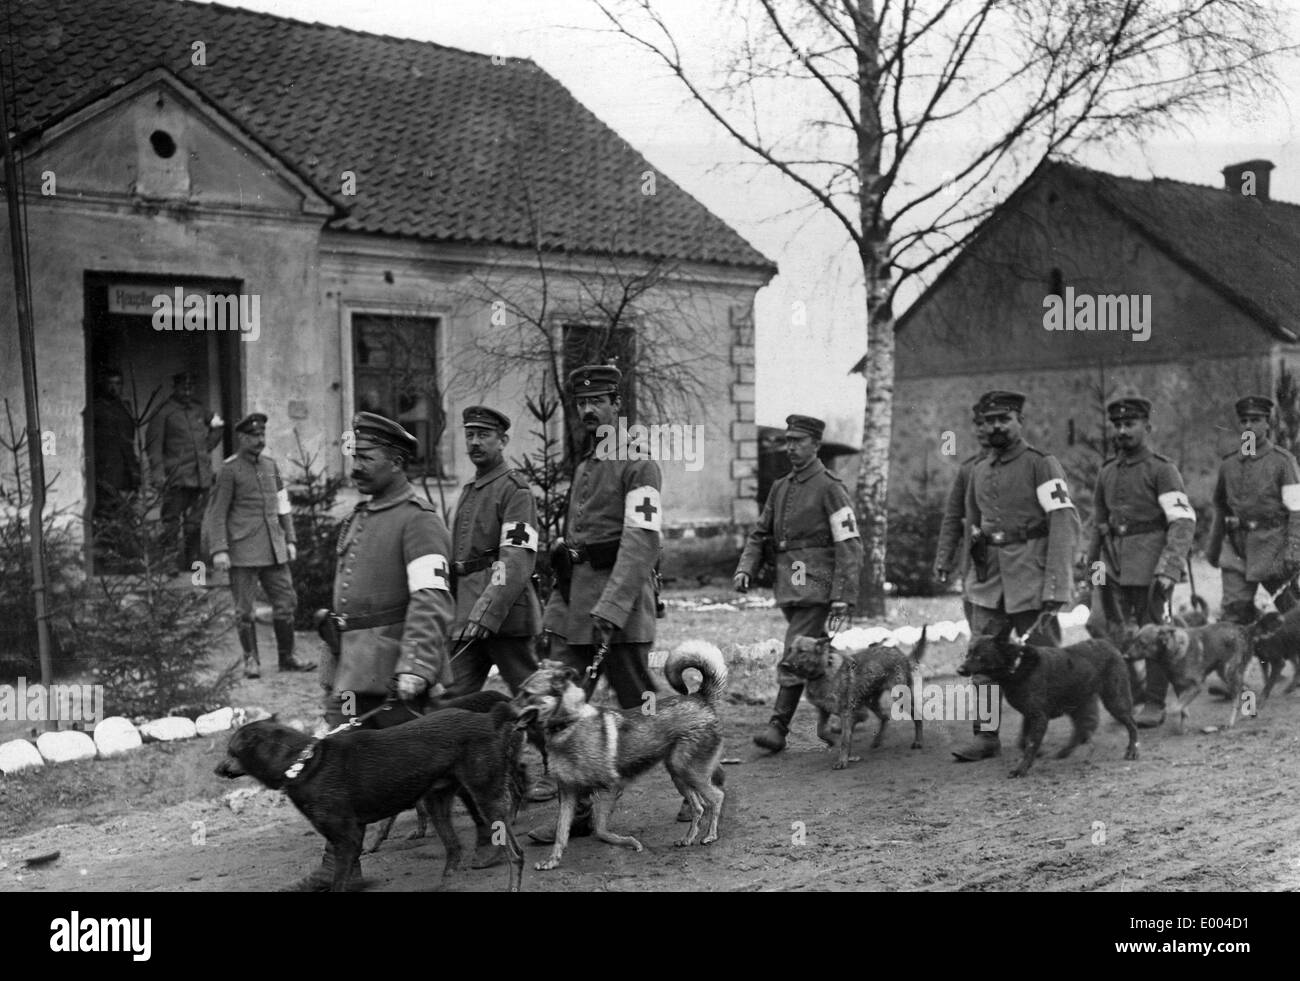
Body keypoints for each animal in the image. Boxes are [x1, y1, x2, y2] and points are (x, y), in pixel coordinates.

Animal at [218, 701, 527, 893]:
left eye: (232, 751)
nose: (216, 769)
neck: (305, 763)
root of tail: (488, 718)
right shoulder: (350, 836)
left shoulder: (346, 837)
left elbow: (339, 884)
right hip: (437, 802)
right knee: (455, 851)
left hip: (485, 798)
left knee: (515, 854)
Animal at [509, 644, 733, 873]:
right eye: (520, 690)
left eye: (528, 694)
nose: (505, 708)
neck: (569, 725)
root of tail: (700, 698)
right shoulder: (568, 792)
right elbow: (561, 833)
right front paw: (552, 861)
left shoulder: (610, 788)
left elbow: (600, 830)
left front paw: (628, 842)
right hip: (678, 774)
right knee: (699, 806)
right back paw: (687, 839)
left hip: (688, 771)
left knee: (716, 797)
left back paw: (710, 835)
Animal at [780, 628, 925, 769]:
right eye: (790, 649)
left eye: (802, 651)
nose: (784, 665)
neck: (822, 673)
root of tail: (900, 653)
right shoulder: (824, 710)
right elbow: (820, 731)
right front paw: (832, 741)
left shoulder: (847, 713)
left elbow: (845, 739)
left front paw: (842, 761)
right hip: (871, 701)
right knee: (885, 717)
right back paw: (877, 741)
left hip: (901, 698)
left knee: (917, 717)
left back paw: (918, 742)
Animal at [956, 626, 1138, 779]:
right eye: (967, 654)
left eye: (979, 656)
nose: (959, 670)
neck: (1016, 666)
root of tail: (1109, 645)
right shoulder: (1030, 715)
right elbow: (1027, 740)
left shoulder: (1039, 717)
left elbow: (1030, 744)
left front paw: (1020, 769)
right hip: (1077, 704)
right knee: (1081, 729)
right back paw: (1064, 753)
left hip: (1115, 701)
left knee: (1131, 725)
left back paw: (1132, 751)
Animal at [1128, 621, 1258, 727]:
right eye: (1133, 641)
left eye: (1142, 643)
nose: (1125, 656)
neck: (1176, 650)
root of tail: (1243, 628)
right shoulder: (1179, 686)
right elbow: (1182, 707)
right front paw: (1183, 725)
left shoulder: (1196, 687)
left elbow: (1175, 707)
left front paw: (1170, 713)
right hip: (1224, 673)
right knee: (1245, 689)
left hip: (1228, 672)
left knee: (1237, 699)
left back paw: (1230, 722)